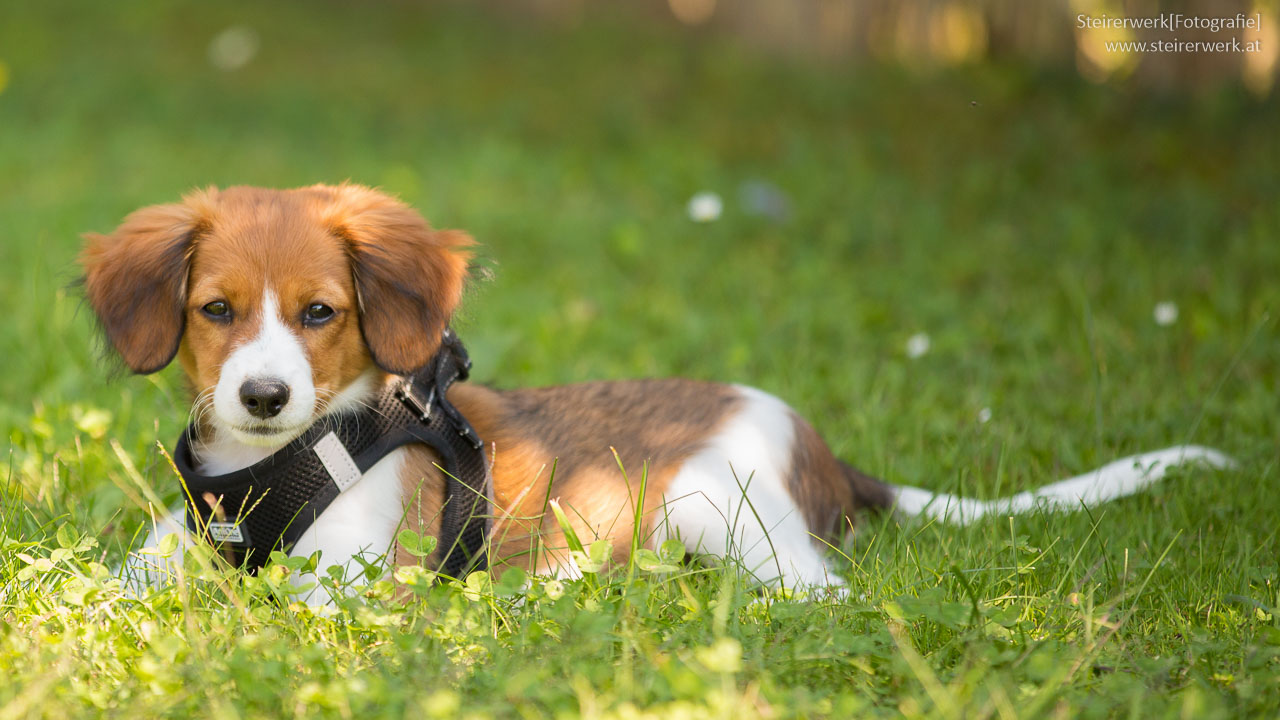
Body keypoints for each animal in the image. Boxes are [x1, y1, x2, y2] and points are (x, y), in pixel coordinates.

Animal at [80, 183, 1228, 594]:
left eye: (320, 313)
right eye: (216, 311)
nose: (264, 396)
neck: (274, 468)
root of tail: (822, 451)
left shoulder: (364, 589)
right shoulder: (176, 545)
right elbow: (119, 579)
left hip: (722, 510)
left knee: (822, 591)